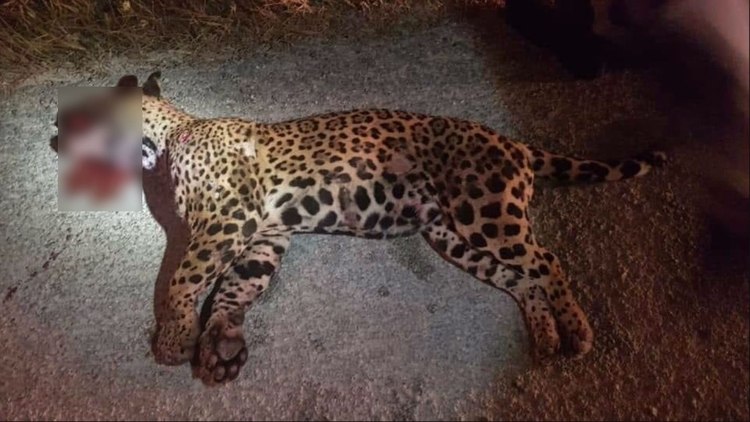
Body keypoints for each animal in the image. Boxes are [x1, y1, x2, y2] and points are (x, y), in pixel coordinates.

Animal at [61, 71, 666, 386]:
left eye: (82, 114)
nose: (53, 133)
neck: (170, 135)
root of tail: (511, 141)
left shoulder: (228, 219)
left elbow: (184, 280)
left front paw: (173, 338)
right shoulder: (265, 235)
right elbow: (236, 288)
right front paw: (220, 343)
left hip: (485, 211)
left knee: (547, 262)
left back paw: (577, 332)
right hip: (453, 236)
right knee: (522, 278)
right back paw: (544, 336)